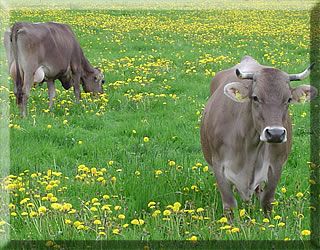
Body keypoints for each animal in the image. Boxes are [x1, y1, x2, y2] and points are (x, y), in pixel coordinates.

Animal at [201, 55, 316, 216]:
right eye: (255, 97)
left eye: (288, 99)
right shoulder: (218, 165)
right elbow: (229, 205)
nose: (275, 134)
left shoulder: (276, 165)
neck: (249, 144)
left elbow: (267, 201)